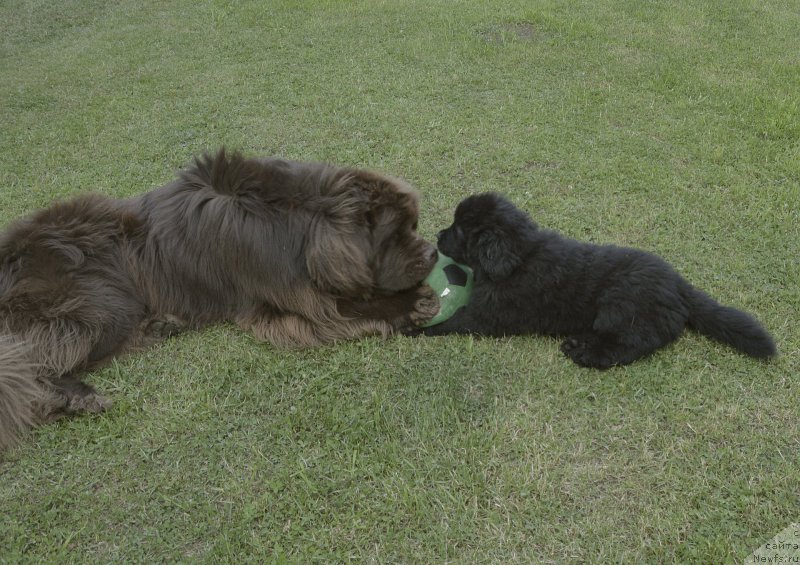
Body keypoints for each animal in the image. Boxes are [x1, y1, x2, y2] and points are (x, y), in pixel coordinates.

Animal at [0, 148, 438, 448]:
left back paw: (160, 325)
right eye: (394, 235)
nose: (433, 252)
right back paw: (73, 399)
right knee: (34, 362)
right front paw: (410, 304)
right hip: (103, 304)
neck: (299, 219)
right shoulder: (282, 303)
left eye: (414, 226)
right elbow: (345, 307)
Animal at [416, 192, 780, 368]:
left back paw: (586, 355)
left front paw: (411, 326)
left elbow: (450, 321)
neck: (519, 257)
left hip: (620, 305)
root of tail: (679, 284)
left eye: (459, 230)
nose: (438, 236)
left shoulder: (488, 316)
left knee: (631, 344)